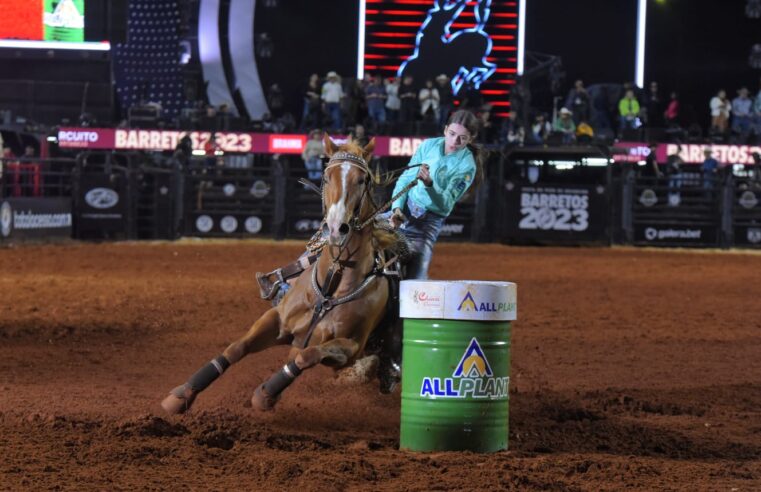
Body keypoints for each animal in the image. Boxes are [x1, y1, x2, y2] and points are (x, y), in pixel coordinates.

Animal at [161, 135, 404, 416]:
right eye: (326, 176)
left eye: (362, 180)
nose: (335, 228)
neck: (332, 286)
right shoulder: (278, 319)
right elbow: (236, 349)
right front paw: (182, 394)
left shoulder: (350, 348)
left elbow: (305, 356)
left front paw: (265, 394)